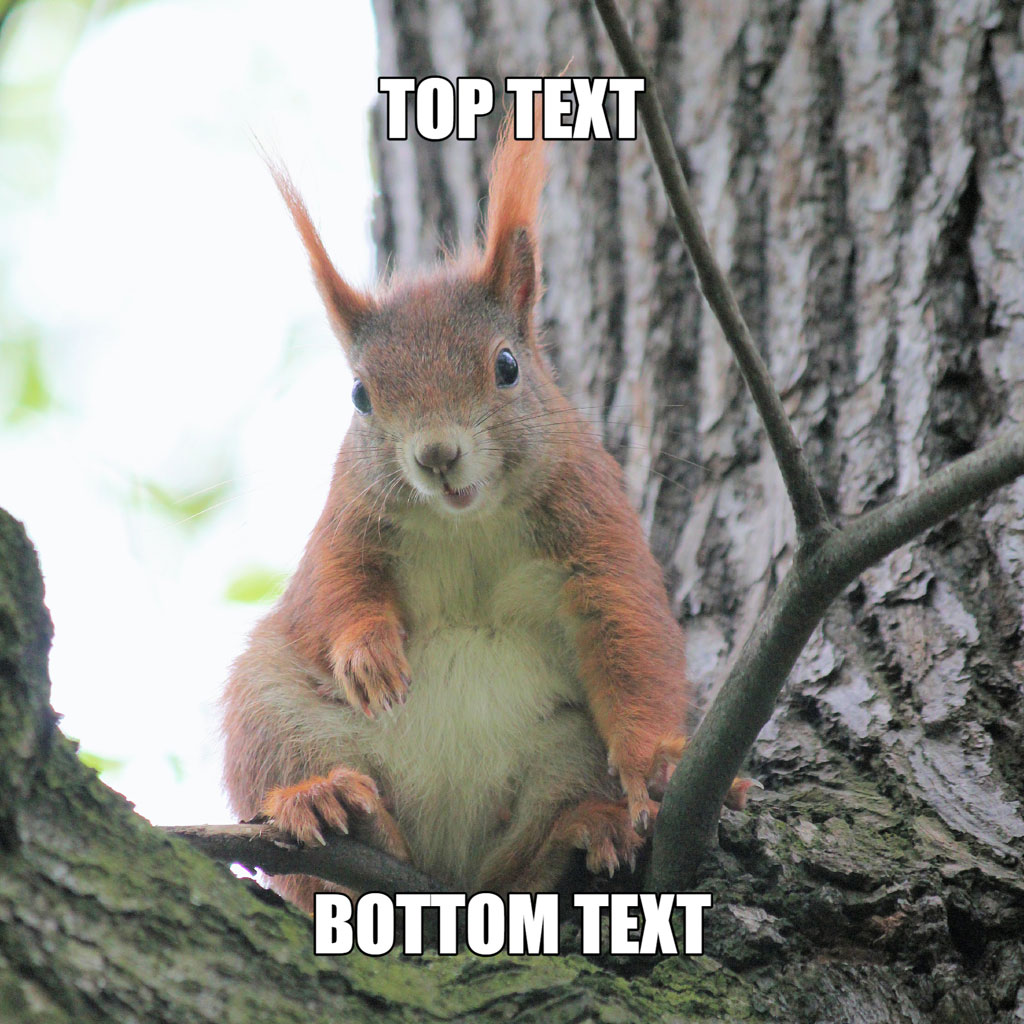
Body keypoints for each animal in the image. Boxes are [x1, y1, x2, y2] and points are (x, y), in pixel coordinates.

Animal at [220, 108, 697, 913]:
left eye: (507, 365)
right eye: (360, 394)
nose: (437, 456)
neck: (467, 522)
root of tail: (443, 876)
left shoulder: (594, 525)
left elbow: (631, 635)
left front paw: (654, 766)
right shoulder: (346, 520)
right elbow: (332, 591)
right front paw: (369, 652)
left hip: (563, 755)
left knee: (518, 870)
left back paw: (583, 828)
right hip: (271, 709)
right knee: (310, 845)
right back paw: (331, 805)